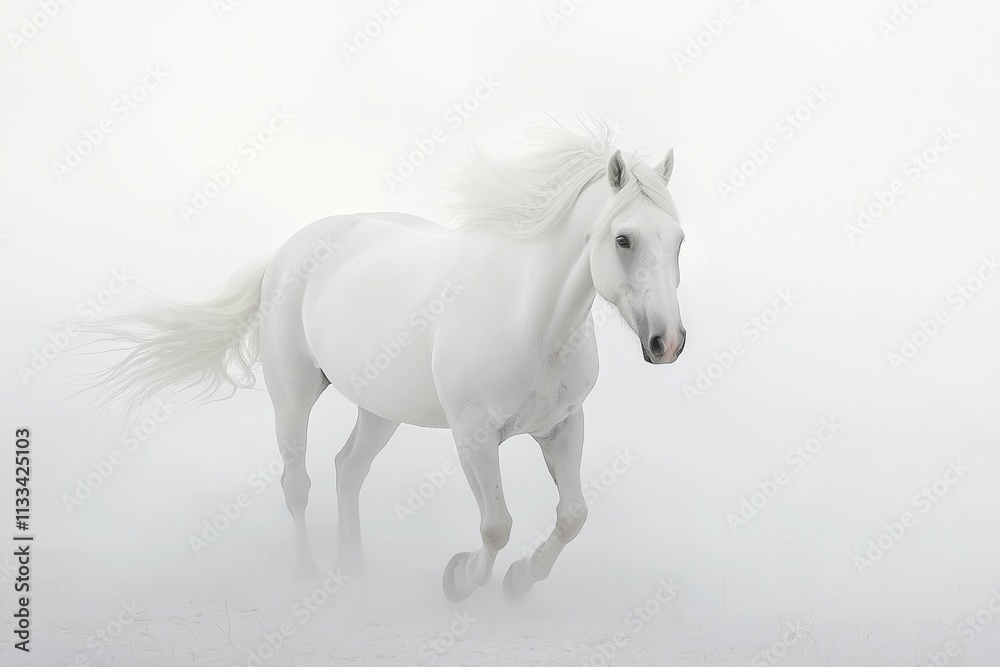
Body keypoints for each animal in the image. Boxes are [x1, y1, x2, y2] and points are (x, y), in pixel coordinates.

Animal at [87, 121, 686, 600]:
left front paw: (519, 580)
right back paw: (306, 573)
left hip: (380, 410)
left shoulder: (563, 426)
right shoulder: (473, 436)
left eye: (679, 239)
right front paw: (461, 579)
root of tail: (286, 251)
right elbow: (496, 525)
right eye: (623, 239)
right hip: (292, 400)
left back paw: (355, 568)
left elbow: (573, 516)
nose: (668, 342)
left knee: (347, 470)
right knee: (297, 483)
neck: (530, 320)